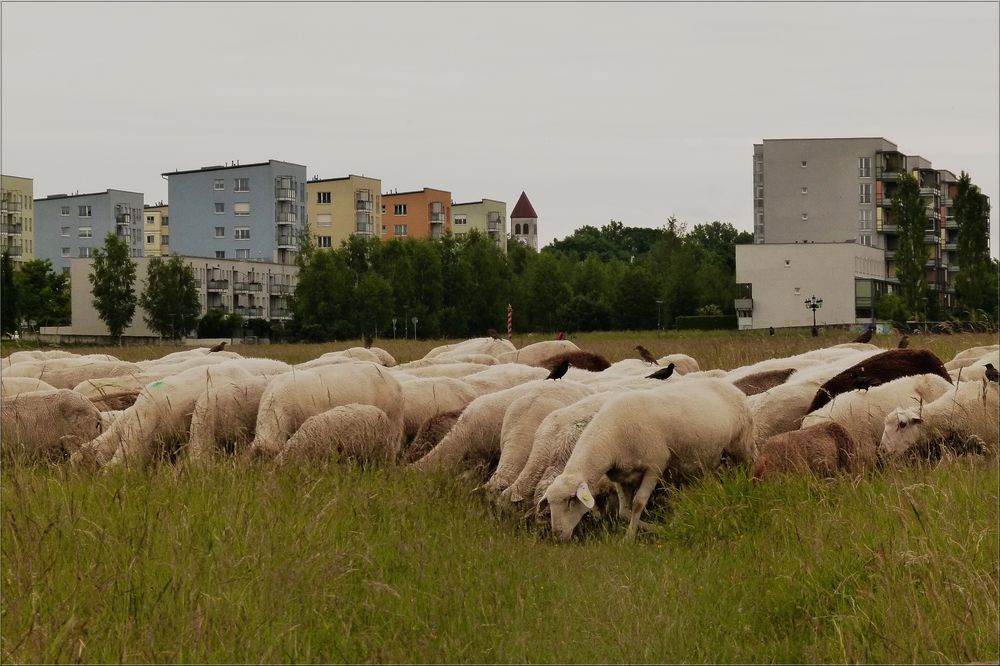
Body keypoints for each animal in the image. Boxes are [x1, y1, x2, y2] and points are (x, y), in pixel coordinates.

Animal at [540, 378, 752, 540]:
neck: (611, 438)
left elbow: (638, 503)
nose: (557, 534)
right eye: (550, 503)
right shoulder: (620, 476)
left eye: (570, 500)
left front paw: (630, 538)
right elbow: (624, 512)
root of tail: (730, 386)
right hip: (710, 456)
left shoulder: (655, 465)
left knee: (749, 468)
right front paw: (659, 527)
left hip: (741, 445)